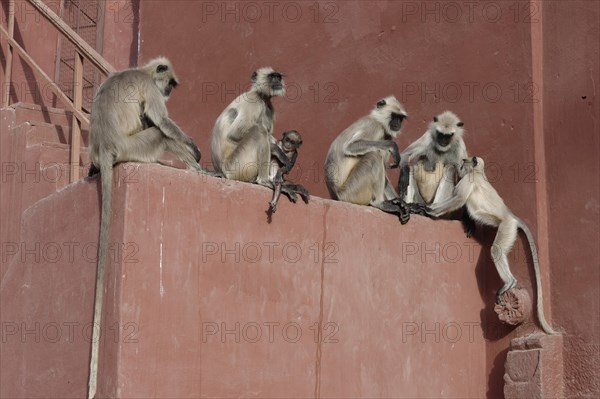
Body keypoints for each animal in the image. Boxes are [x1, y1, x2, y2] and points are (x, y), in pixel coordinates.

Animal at [324, 95, 426, 223]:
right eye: (394, 116)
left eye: (400, 118)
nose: (398, 123)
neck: (378, 120)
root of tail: (335, 195)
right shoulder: (374, 126)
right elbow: (350, 146)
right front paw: (392, 146)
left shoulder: (387, 134)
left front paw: (405, 204)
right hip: (350, 192)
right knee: (373, 156)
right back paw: (380, 203)